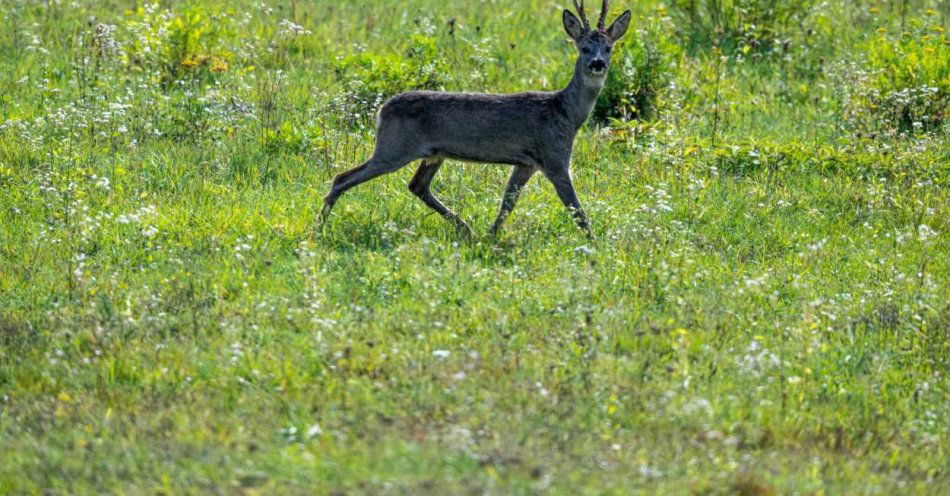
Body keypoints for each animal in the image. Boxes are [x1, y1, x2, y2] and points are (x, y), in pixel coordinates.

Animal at [324, 0, 636, 239]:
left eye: (609, 47)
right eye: (583, 47)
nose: (597, 64)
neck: (566, 113)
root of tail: (381, 110)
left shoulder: (526, 163)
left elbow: (507, 203)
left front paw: (490, 236)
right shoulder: (554, 157)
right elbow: (577, 210)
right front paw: (595, 246)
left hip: (432, 154)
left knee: (417, 185)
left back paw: (466, 229)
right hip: (394, 148)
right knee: (342, 177)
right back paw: (320, 228)